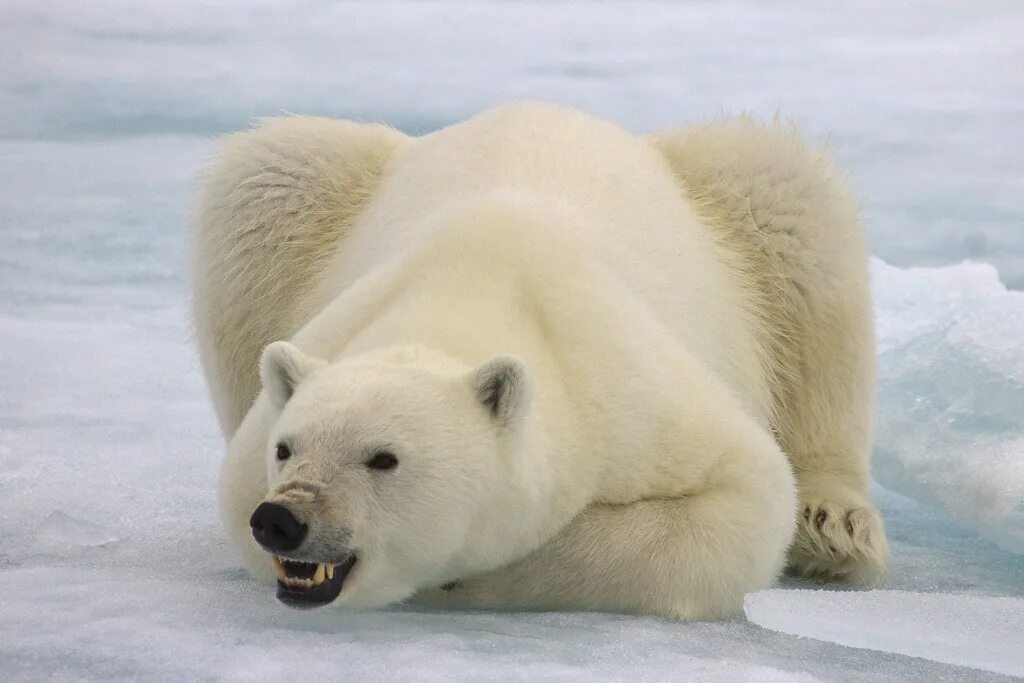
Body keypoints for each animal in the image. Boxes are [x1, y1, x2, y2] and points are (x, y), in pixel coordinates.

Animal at [192, 101, 888, 618]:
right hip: (315, 193)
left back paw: (834, 528)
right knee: (262, 182)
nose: (284, 518)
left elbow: (743, 496)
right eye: (285, 449)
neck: (470, 291)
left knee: (797, 215)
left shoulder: (625, 387)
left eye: (383, 458)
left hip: (734, 211)